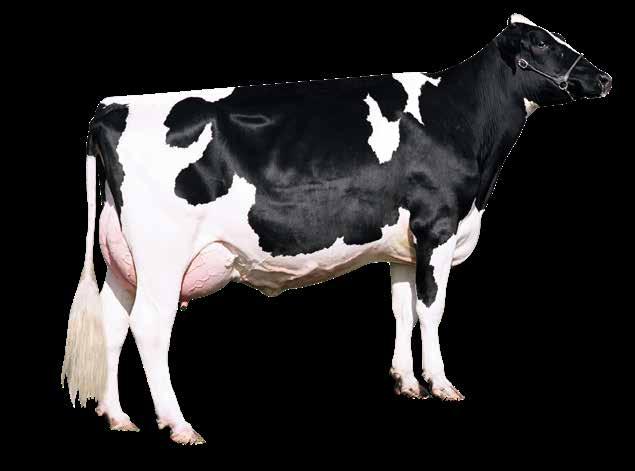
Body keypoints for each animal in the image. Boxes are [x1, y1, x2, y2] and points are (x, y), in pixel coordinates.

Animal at [62, 14, 612, 445]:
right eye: (541, 43)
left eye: (557, 37)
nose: (603, 77)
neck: (459, 120)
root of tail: (110, 107)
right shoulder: (436, 225)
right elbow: (431, 311)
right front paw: (441, 384)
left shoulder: (403, 245)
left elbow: (401, 310)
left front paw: (406, 382)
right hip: (162, 255)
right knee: (149, 328)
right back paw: (179, 426)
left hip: (122, 259)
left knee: (112, 323)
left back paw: (117, 416)